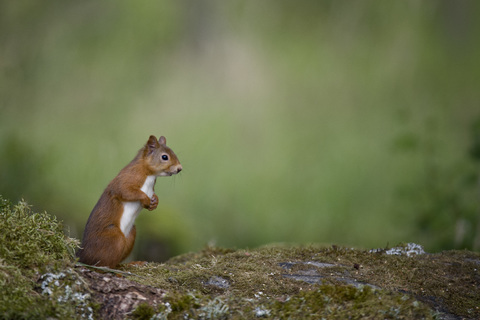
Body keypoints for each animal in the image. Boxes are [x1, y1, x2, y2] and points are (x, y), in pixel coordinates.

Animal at [77, 135, 182, 268]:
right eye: (164, 157)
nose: (180, 168)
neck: (150, 175)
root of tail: (81, 255)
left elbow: (153, 195)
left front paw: (154, 202)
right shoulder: (127, 178)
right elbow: (125, 191)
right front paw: (146, 200)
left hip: (131, 234)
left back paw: (133, 263)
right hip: (114, 237)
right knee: (103, 264)